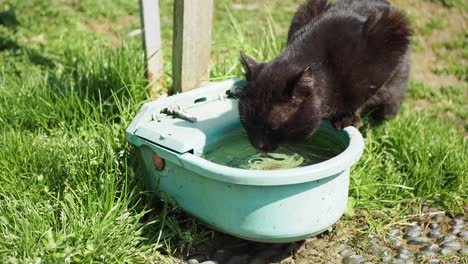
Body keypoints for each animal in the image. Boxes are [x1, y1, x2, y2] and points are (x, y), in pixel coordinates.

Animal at [238, 0, 410, 153]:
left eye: (273, 128)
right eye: (245, 122)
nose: (258, 146)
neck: (327, 65)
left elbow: (363, 95)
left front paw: (347, 117)